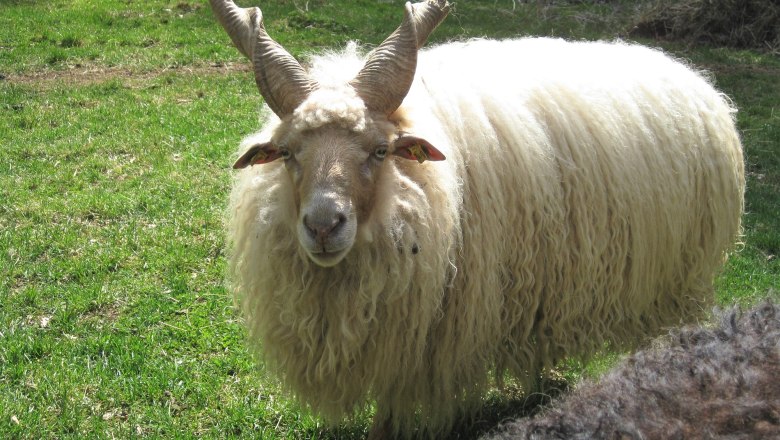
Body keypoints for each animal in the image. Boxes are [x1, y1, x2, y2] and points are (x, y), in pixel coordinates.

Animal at [210, 0, 748, 436]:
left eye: (381, 150)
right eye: (286, 153)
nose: (323, 226)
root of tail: (688, 75)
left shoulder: (422, 337)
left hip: (677, 279)